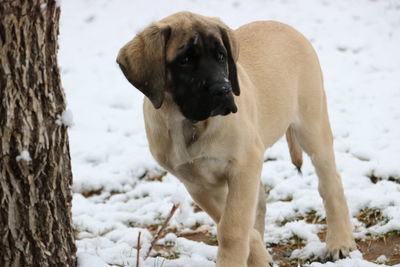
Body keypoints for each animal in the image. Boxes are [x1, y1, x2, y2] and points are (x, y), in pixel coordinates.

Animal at [116, 11, 356, 266]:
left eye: (221, 56)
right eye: (185, 60)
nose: (224, 90)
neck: (188, 124)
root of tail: (286, 26)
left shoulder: (244, 164)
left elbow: (232, 227)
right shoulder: (198, 184)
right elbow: (233, 223)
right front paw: (259, 257)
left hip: (312, 125)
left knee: (330, 183)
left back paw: (339, 242)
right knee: (260, 203)